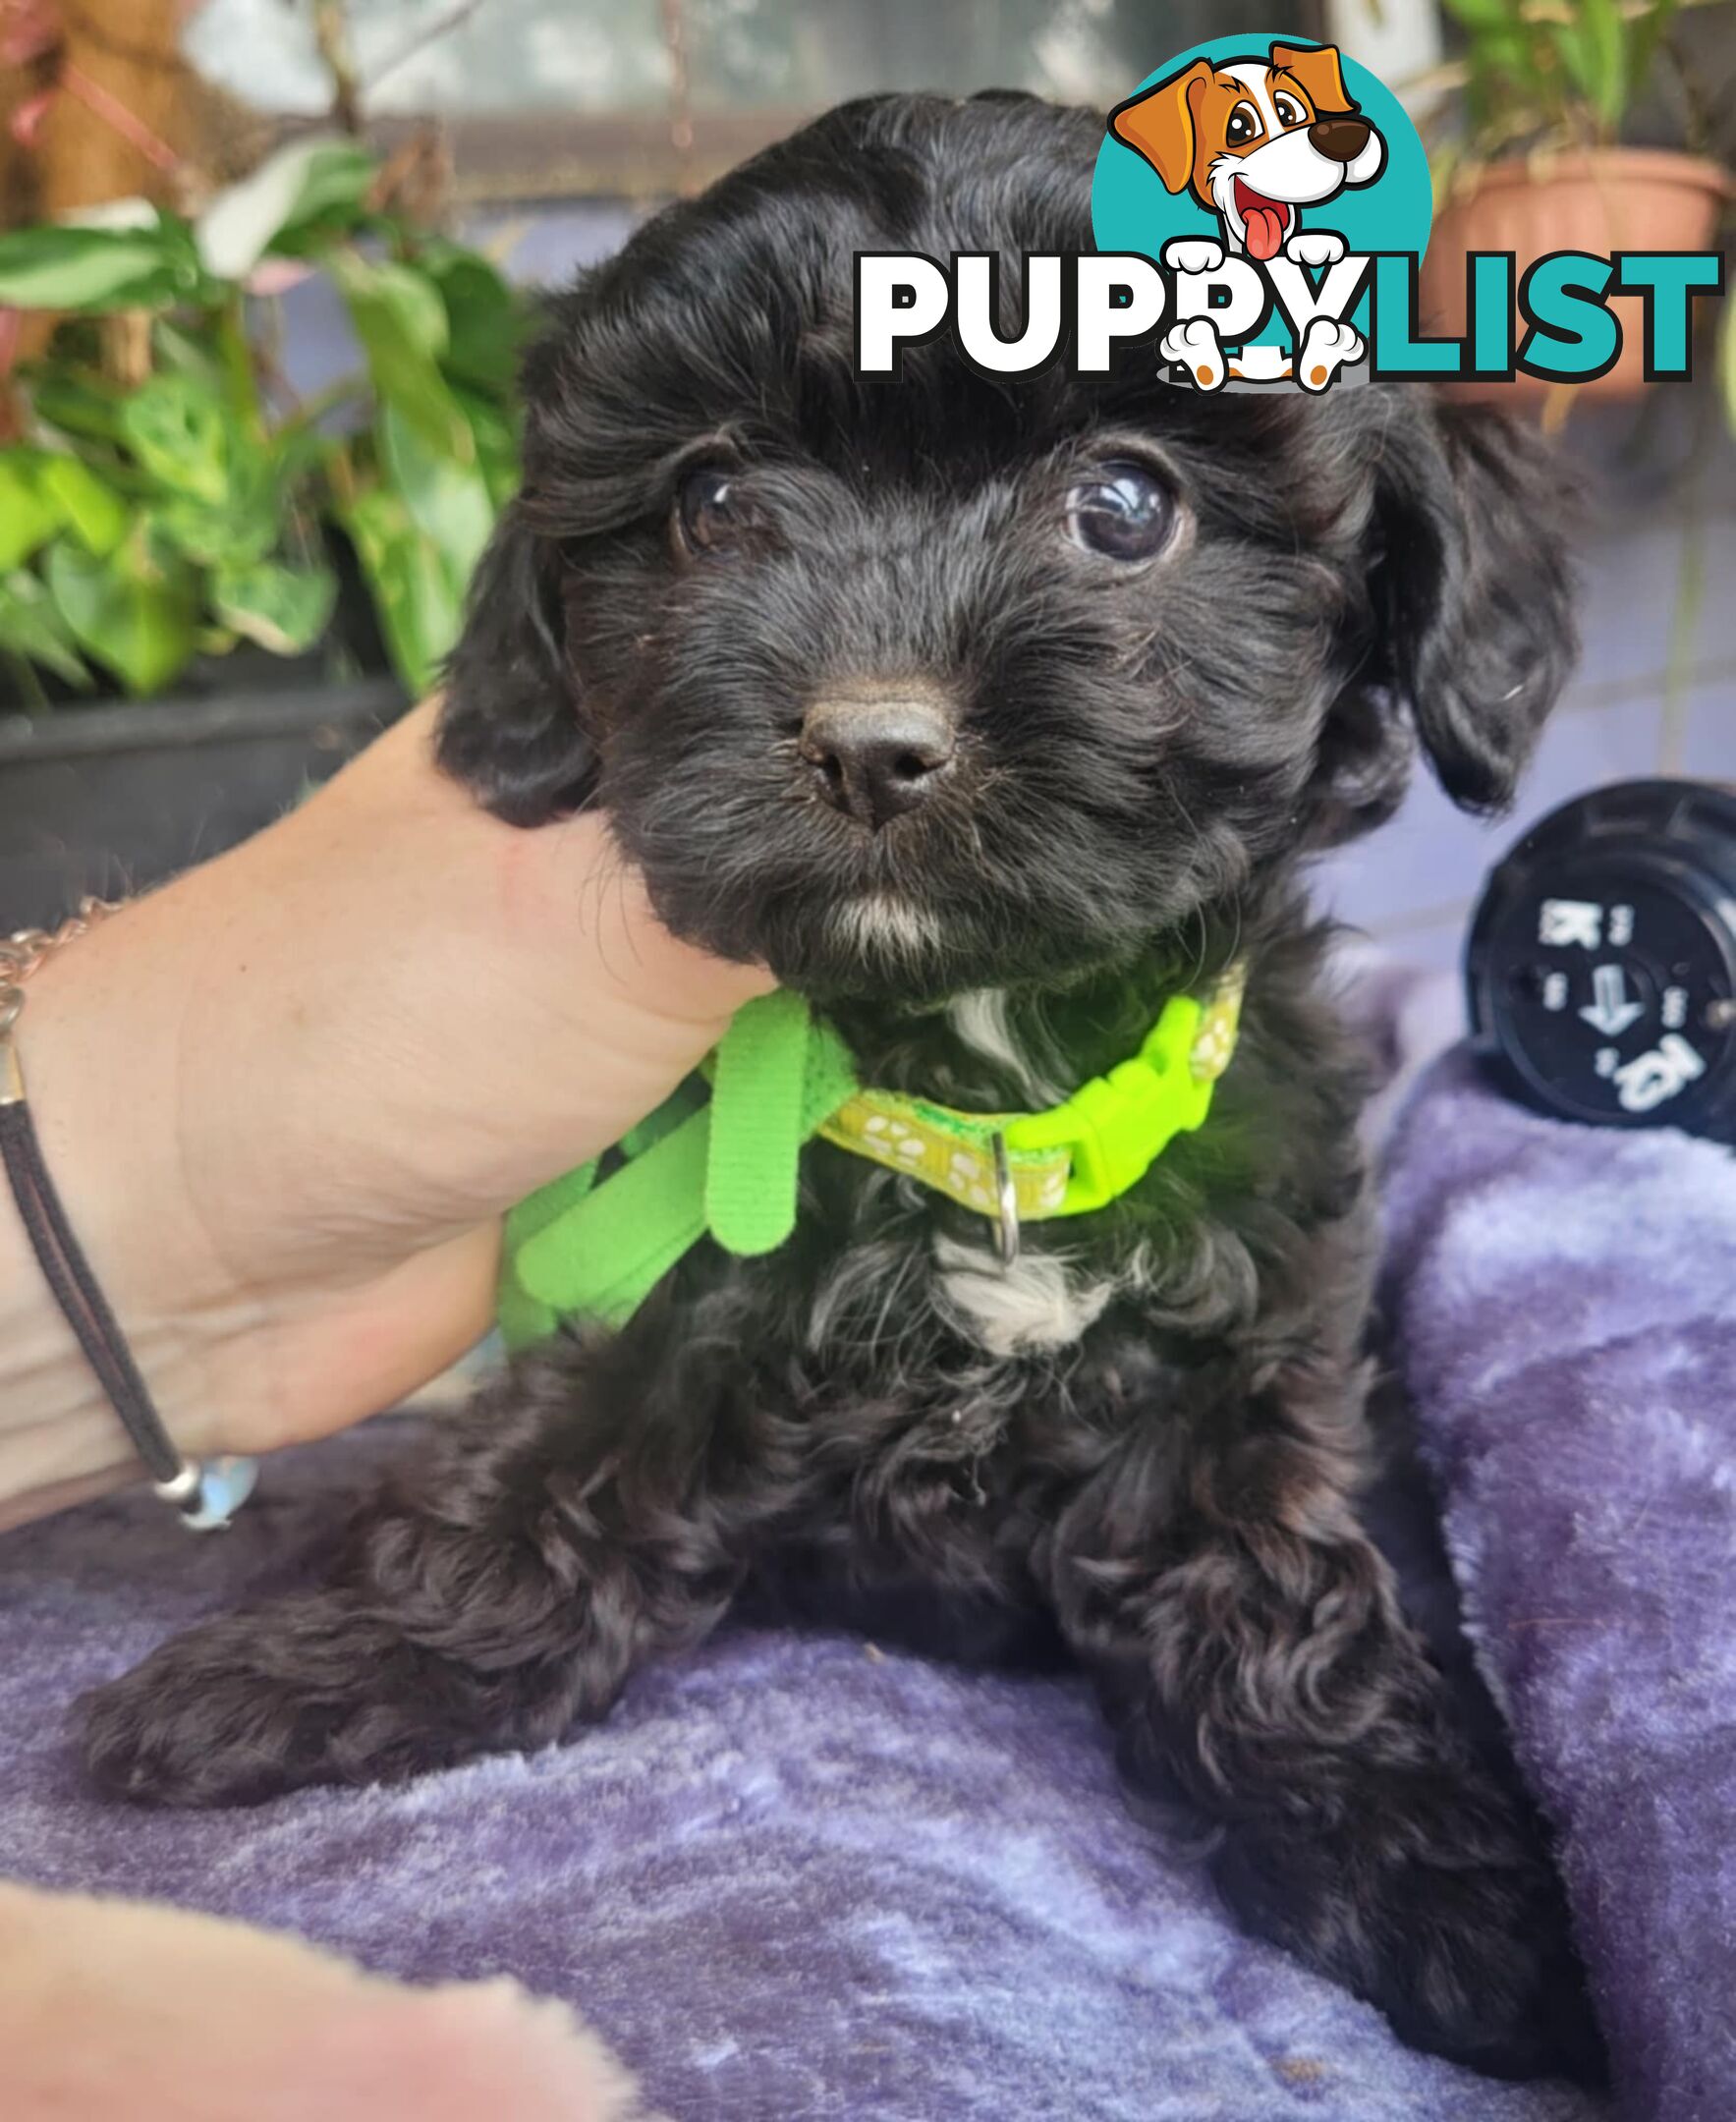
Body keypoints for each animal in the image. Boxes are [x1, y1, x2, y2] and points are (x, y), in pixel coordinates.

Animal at [81, 95, 1596, 2071]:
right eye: (715, 504)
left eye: (1126, 504)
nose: (872, 742)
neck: (979, 1069)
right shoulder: (675, 1286)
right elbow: (540, 1476)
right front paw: (299, 1667)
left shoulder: (1244, 1336)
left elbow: (1270, 1590)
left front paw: (1435, 1868)